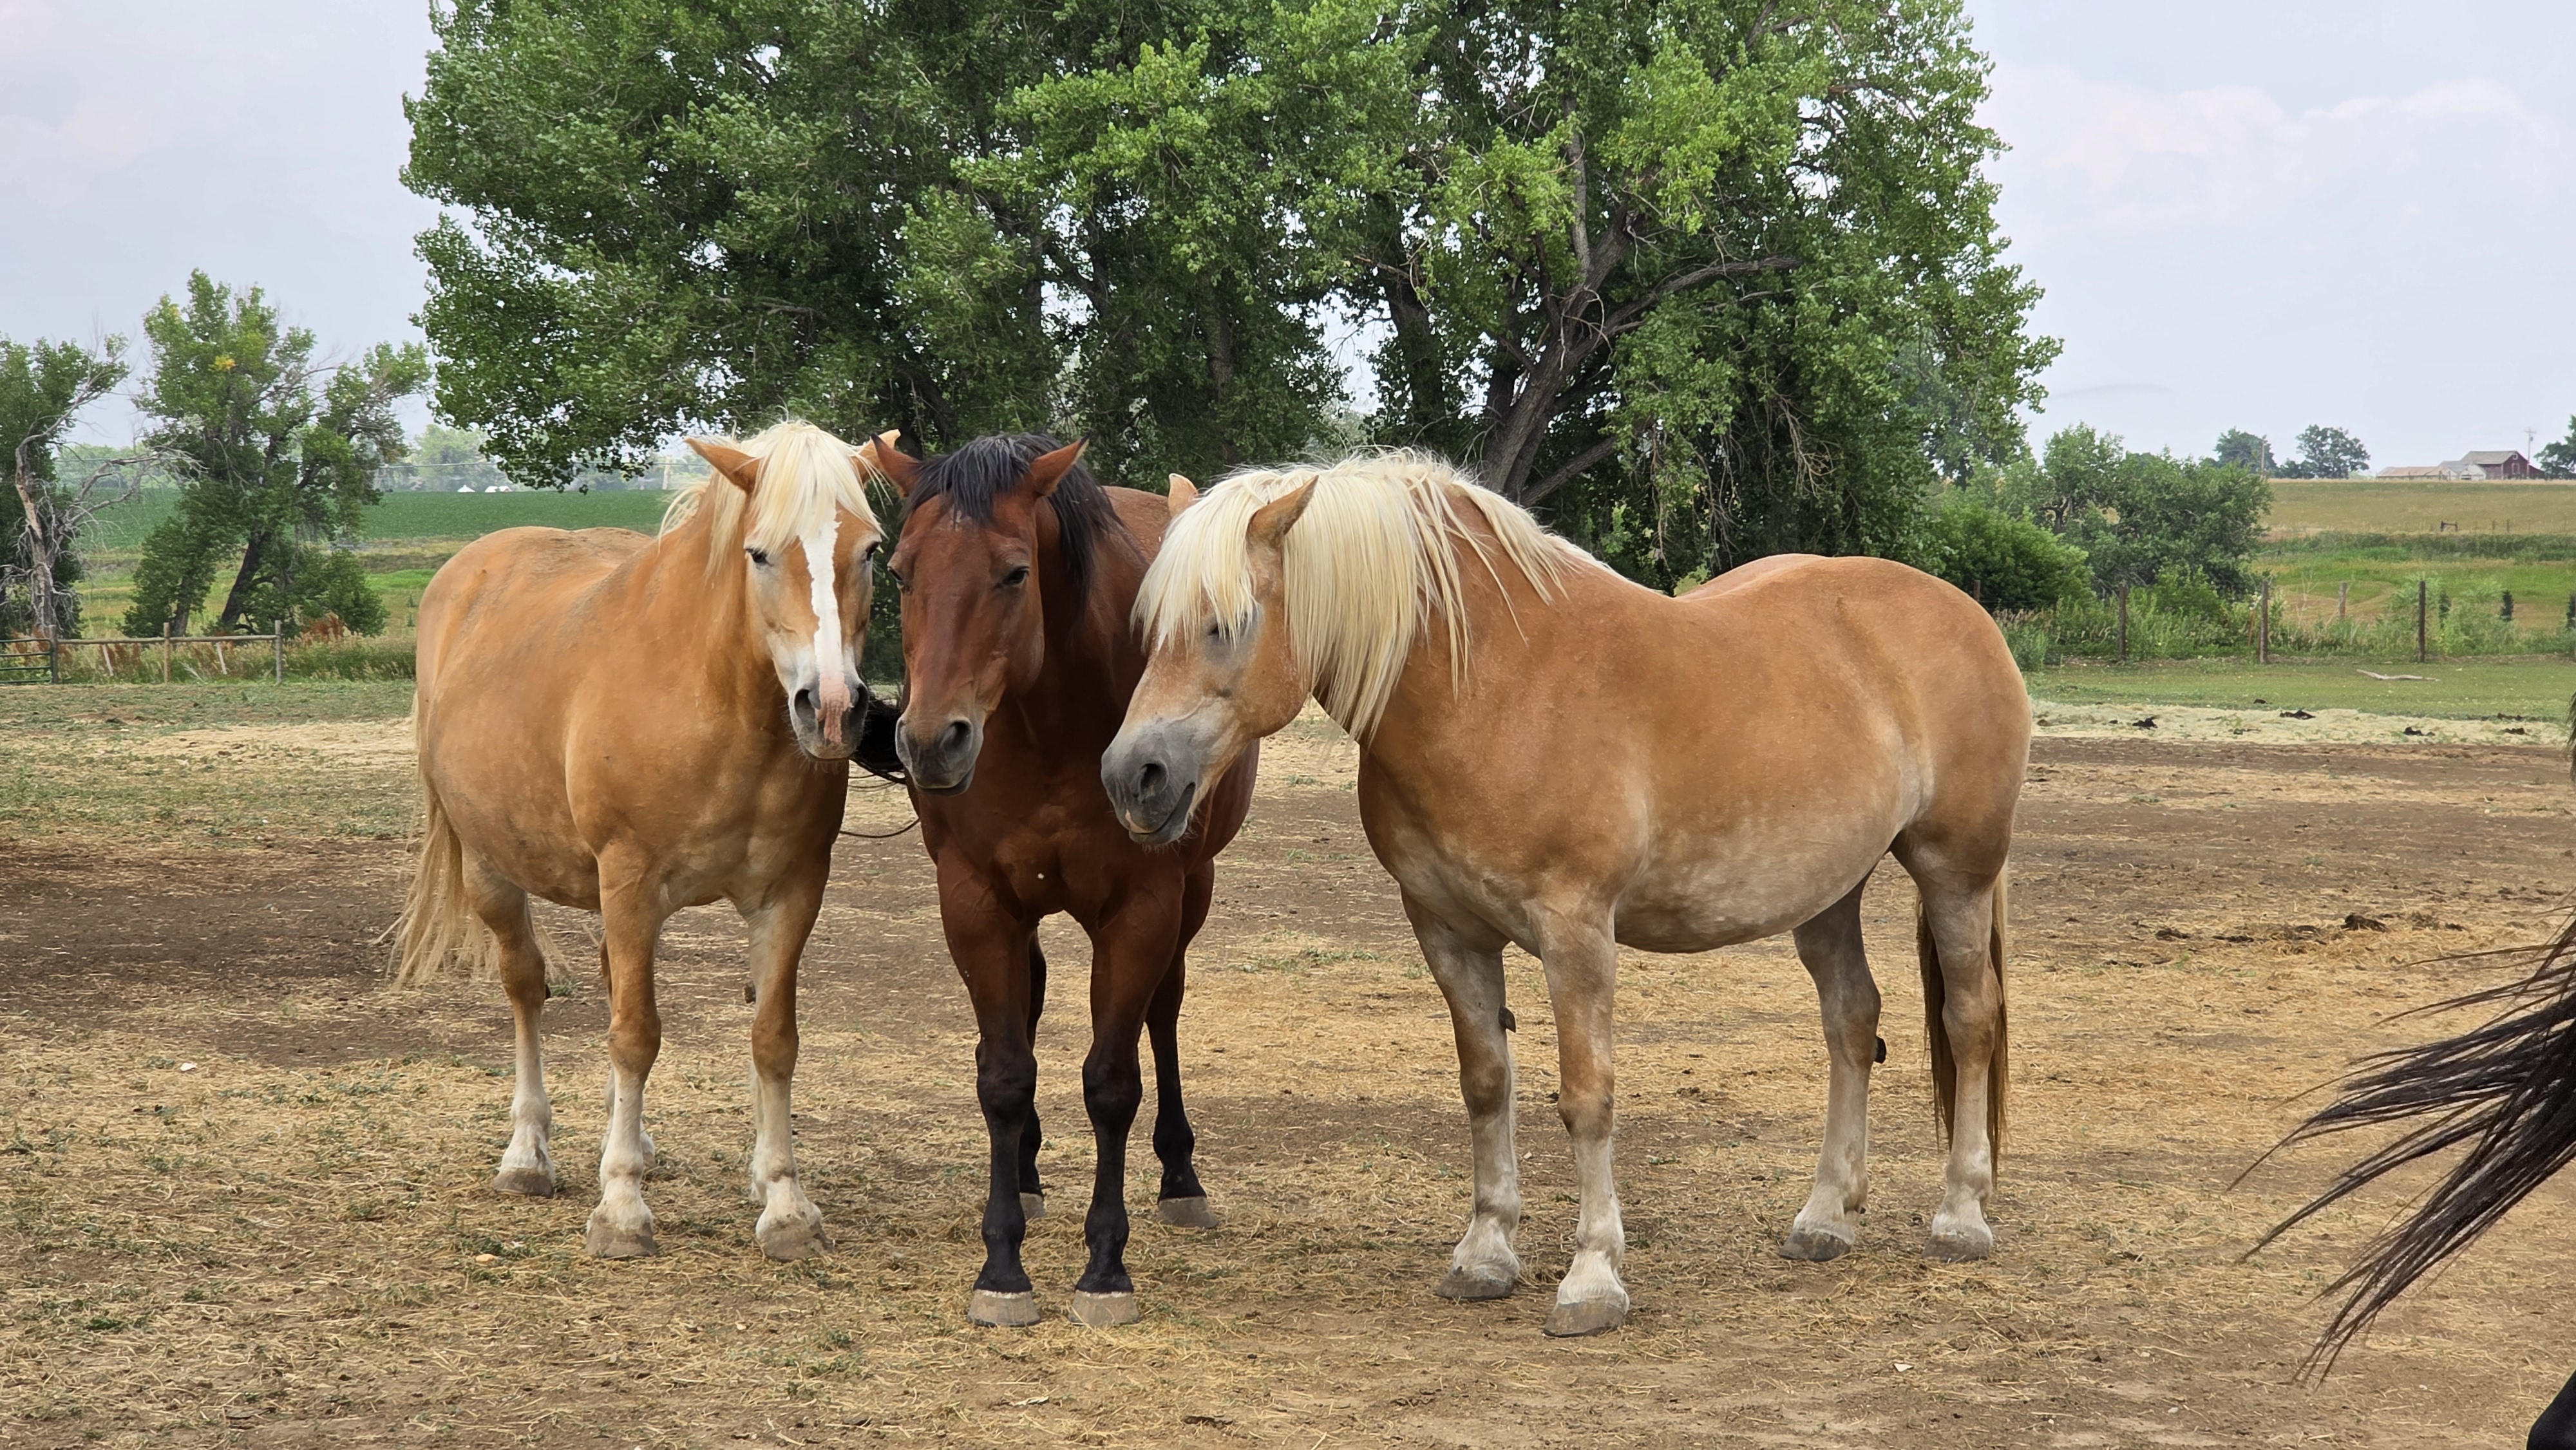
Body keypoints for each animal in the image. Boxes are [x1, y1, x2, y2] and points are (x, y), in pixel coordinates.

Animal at [393, 419, 886, 1262]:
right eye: (759, 553)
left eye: (872, 550)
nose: (830, 709)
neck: (712, 697)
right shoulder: (629, 883)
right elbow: (634, 1036)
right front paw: (621, 1206)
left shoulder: (791, 892)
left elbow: (772, 1038)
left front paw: (784, 1201)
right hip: (493, 870)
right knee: (526, 988)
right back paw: (528, 1154)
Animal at [870, 433, 1254, 1328]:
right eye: (900, 571)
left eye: (1015, 572)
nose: (930, 742)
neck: (1049, 722)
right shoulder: (976, 901)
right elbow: (1004, 1074)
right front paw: (1002, 1263)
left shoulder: (1142, 908)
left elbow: (1113, 1082)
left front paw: (1105, 1267)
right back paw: (1030, 1169)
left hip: (1192, 893)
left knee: (1163, 1014)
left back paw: (1180, 1177)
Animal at [1101, 452, 2027, 1336]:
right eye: (1147, 630)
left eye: (1226, 624)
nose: (1131, 776)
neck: (1493, 686)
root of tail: (1966, 613)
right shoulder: (1447, 929)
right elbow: (1487, 1084)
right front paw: (1484, 1253)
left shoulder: (1576, 931)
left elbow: (1587, 1096)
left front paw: (1592, 1278)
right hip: (1829, 893)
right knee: (1852, 1021)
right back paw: (1826, 1216)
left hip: (1955, 872)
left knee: (1968, 1020)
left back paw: (1961, 1215)